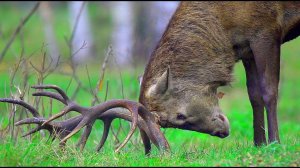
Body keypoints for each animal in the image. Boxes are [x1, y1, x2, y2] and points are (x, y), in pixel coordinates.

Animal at [0, 1, 300, 155]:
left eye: (179, 115)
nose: (222, 131)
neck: (224, 22)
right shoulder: (245, 46)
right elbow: (253, 95)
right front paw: (259, 144)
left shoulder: (265, 29)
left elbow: (268, 90)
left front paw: (275, 143)